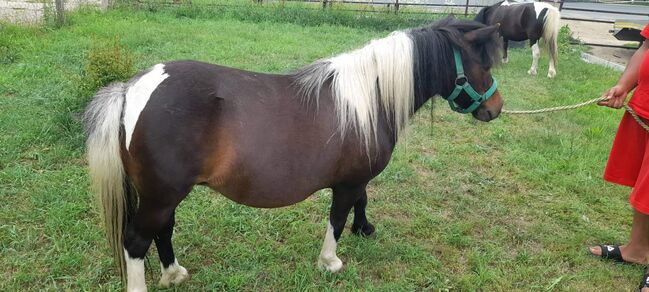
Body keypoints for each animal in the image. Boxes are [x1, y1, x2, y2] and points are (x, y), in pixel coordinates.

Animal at [83, 17, 504, 290]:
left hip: (163, 194)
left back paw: (174, 273)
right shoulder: (347, 182)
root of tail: (132, 89)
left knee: (163, 230)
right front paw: (330, 261)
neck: (368, 98)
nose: (495, 108)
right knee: (137, 240)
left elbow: (362, 200)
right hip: (161, 194)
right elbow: (337, 218)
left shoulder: (356, 178)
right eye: (482, 63)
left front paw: (364, 228)